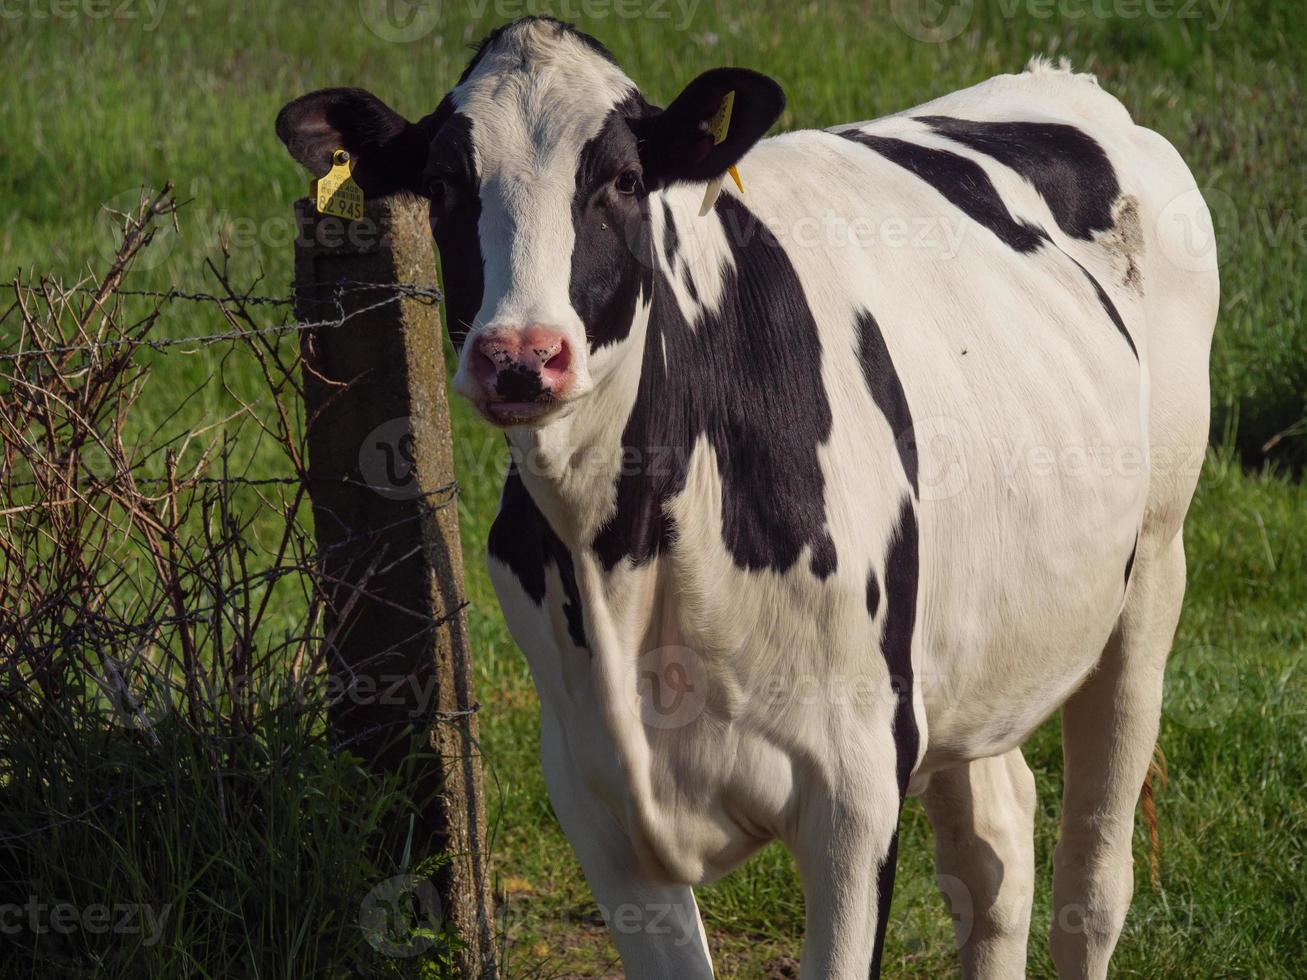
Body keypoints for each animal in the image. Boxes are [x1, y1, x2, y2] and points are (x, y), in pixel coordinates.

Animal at [275, 17, 1212, 980]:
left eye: (622, 180)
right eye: (442, 185)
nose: (521, 357)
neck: (626, 557)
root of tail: (1060, 81)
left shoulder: (855, 791)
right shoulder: (592, 794)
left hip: (1152, 569)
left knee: (1089, 888)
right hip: (977, 644)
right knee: (994, 854)